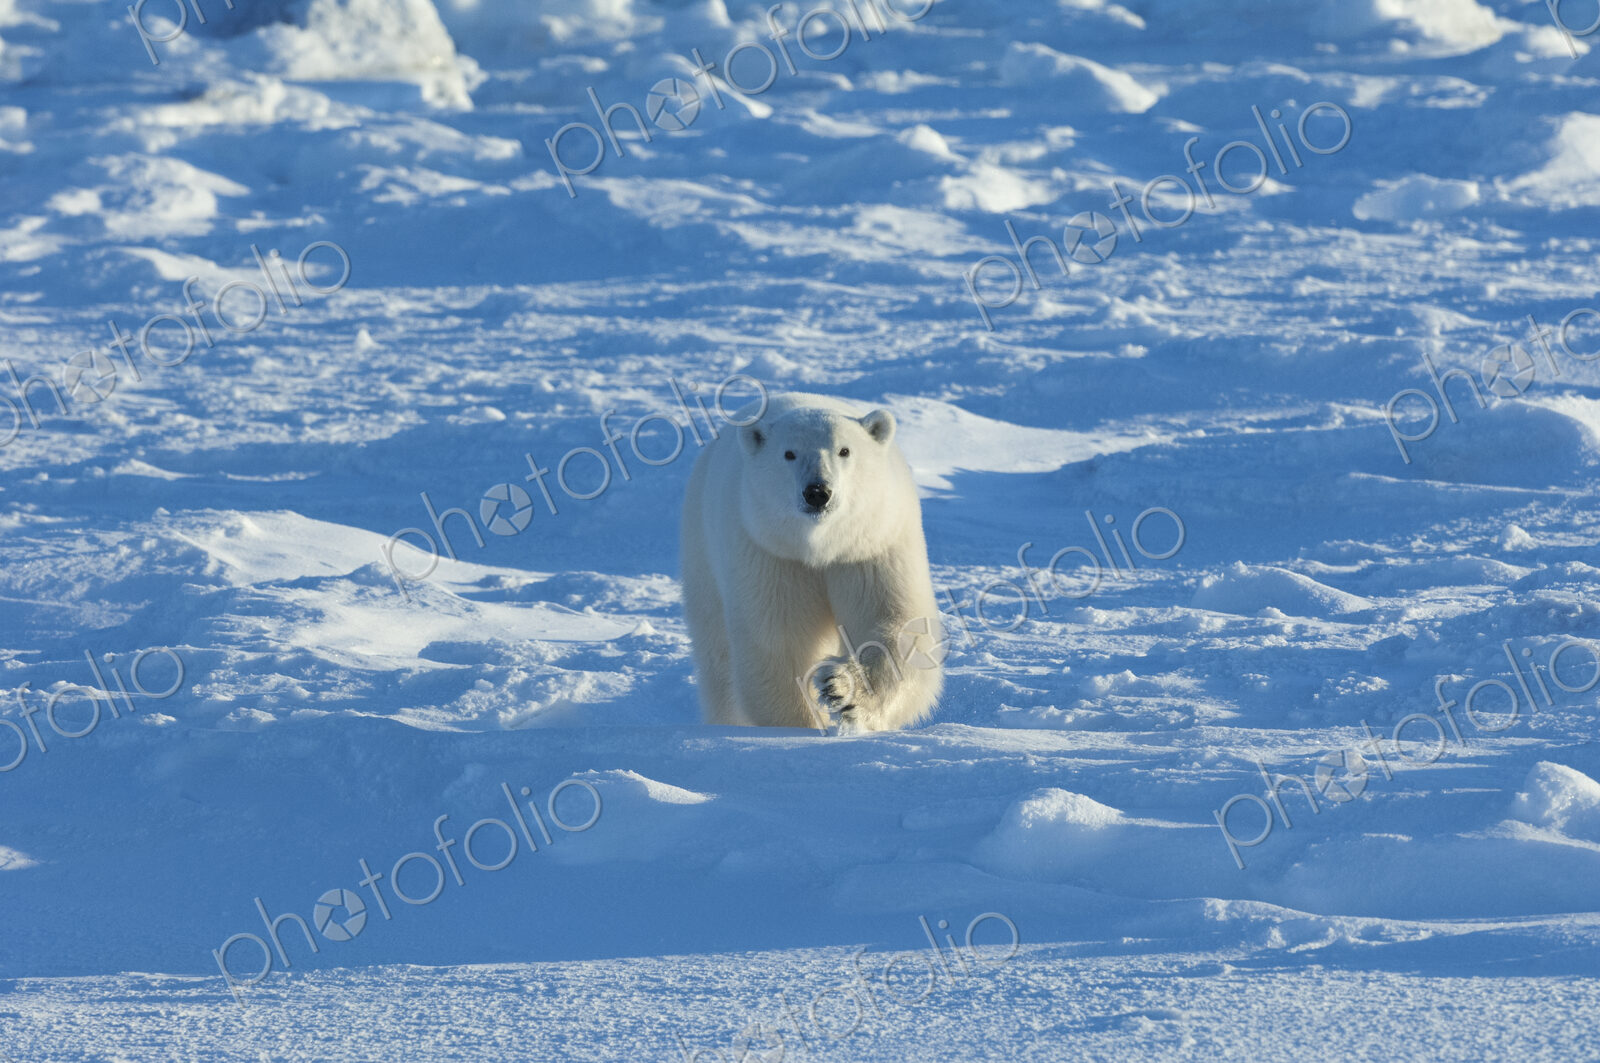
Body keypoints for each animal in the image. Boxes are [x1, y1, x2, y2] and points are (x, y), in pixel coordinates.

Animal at [679, 392, 945, 733]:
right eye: (789, 453)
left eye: (844, 450)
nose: (818, 492)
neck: (822, 546)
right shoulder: (774, 554)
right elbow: (781, 641)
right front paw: (802, 725)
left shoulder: (870, 546)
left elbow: (894, 622)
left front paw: (840, 688)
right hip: (702, 552)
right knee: (717, 656)